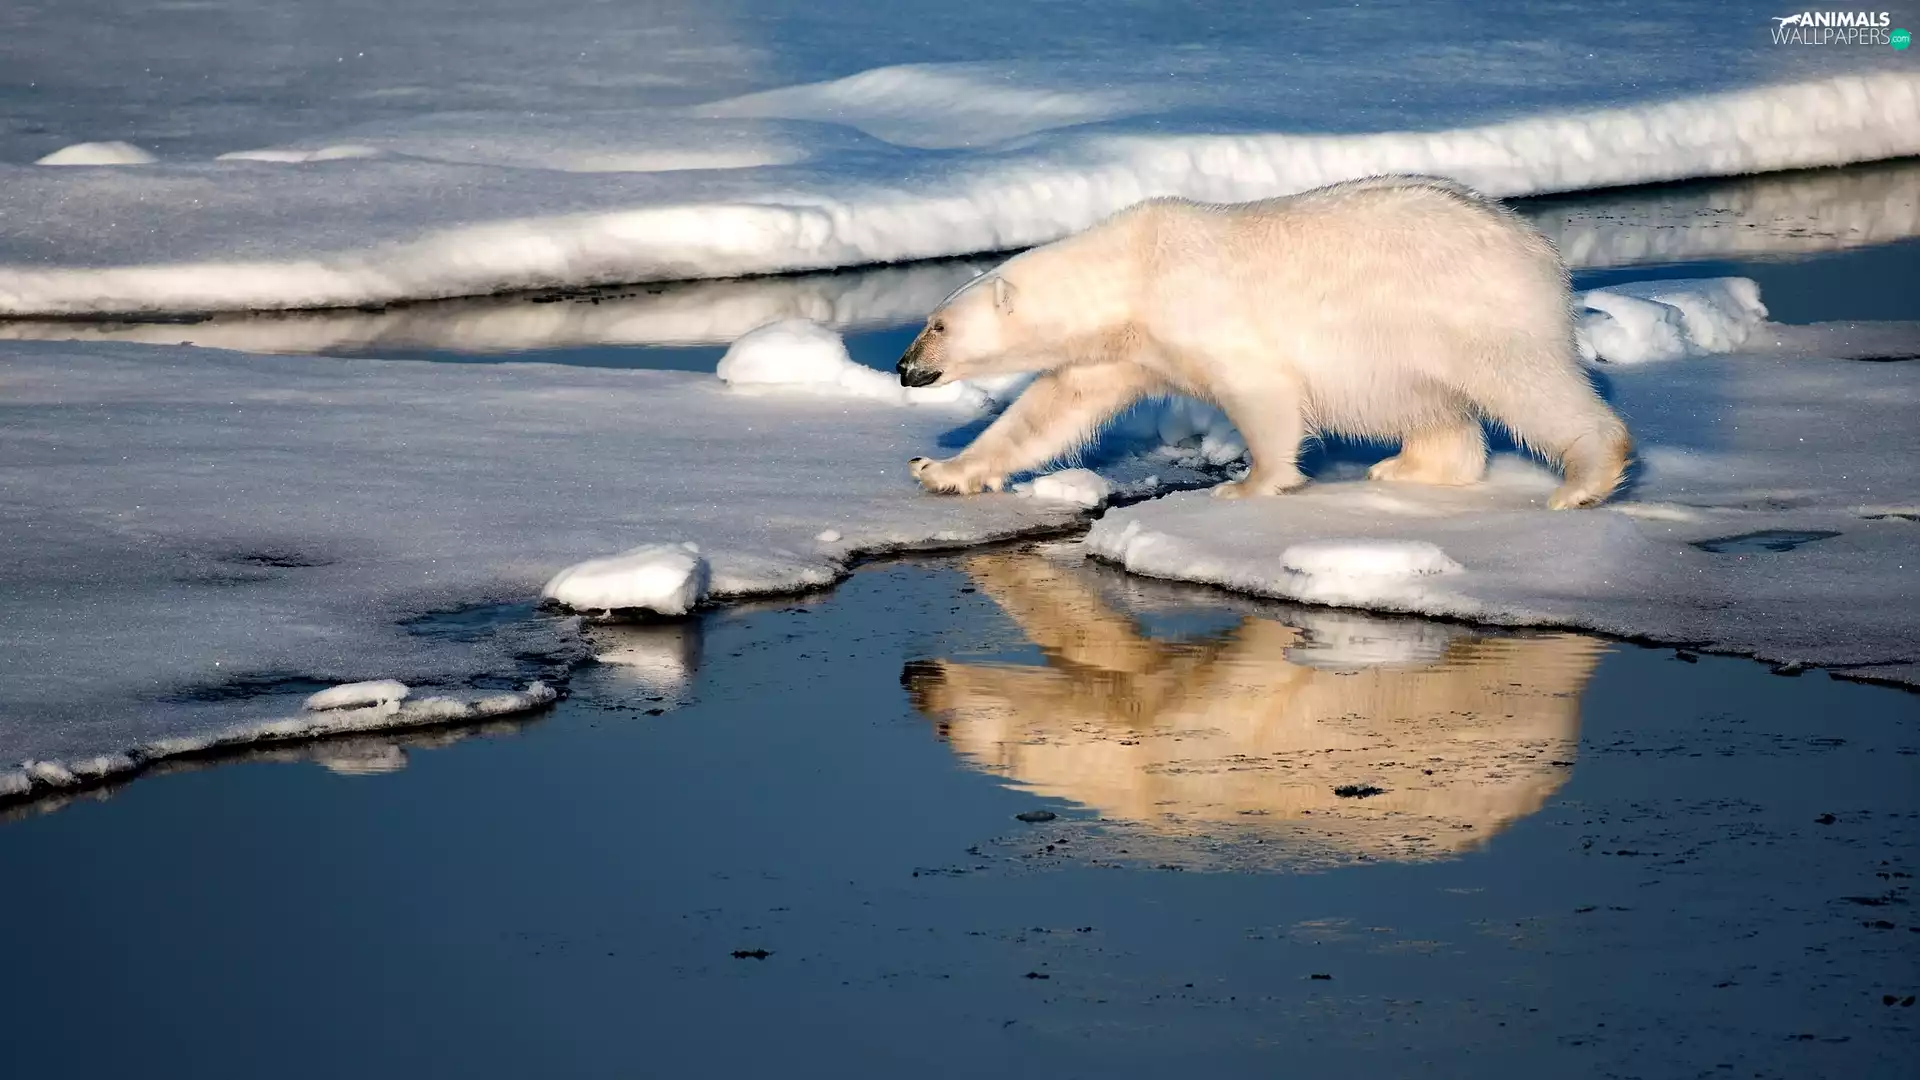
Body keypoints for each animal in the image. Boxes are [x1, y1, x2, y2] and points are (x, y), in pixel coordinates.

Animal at [894, 176, 1633, 510]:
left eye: (938, 325)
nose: (903, 367)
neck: (1132, 271)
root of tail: (1538, 246)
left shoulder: (1198, 309)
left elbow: (1260, 389)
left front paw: (1250, 484)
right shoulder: (1123, 350)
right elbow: (1051, 409)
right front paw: (941, 469)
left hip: (1473, 312)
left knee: (1529, 387)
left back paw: (1583, 482)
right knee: (1428, 406)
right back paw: (1405, 468)